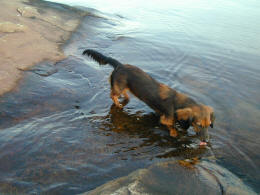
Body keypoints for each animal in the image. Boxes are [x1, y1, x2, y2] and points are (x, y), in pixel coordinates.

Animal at [83, 48, 215, 143]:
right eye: (198, 125)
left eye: (209, 125)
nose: (206, 140)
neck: (180, 104)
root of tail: (120, 65)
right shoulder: (166, 118)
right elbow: (171, 125)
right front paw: (174, 133)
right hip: (118, 87)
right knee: (112, 95)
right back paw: (118, 104)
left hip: (126, 87)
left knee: (124, 94)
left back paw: (126, 99)